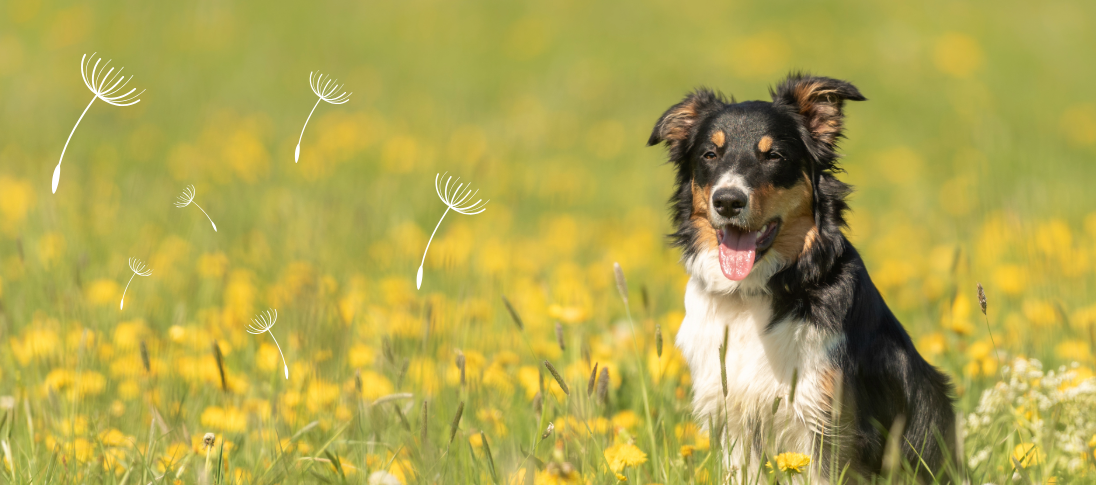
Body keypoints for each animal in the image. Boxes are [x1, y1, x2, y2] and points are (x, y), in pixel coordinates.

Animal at [644, 73, 955, 481]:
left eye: (774, 156)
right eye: (710, 155)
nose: (728, 201)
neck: (751, 296)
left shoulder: (827, 422)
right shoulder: (734, 417)